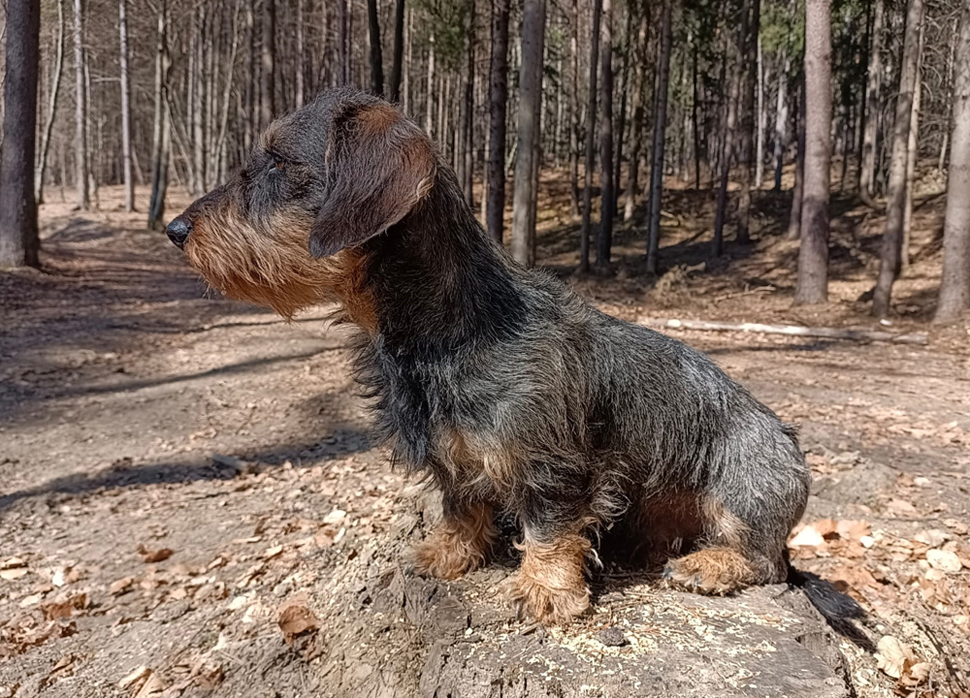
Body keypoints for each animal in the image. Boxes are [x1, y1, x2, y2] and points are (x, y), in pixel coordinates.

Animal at [166, 88, 832, 624]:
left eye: (279, 163)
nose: (175, 230)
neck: (447, 331)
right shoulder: (450, 455)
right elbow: (460, 508)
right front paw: (447, 554)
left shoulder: (551, 461)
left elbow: (549, 525)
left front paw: (546, 589)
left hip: (745, 484)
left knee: (766, 560)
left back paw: (711, 565)